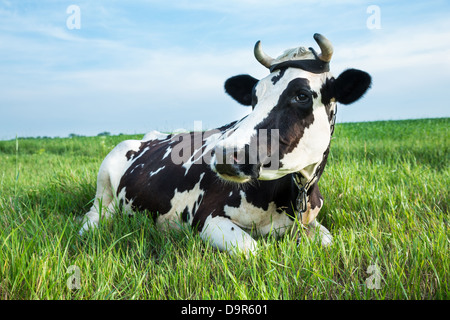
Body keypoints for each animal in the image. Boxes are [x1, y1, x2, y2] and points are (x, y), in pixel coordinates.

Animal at [79, 33, 370, 256]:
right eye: (253, 96)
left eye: (302, 95)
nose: (226, 154)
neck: (291, 197)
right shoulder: (207, 218)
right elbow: (253, 250)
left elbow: (329, 241)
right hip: (105, 178)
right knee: (94, 213)